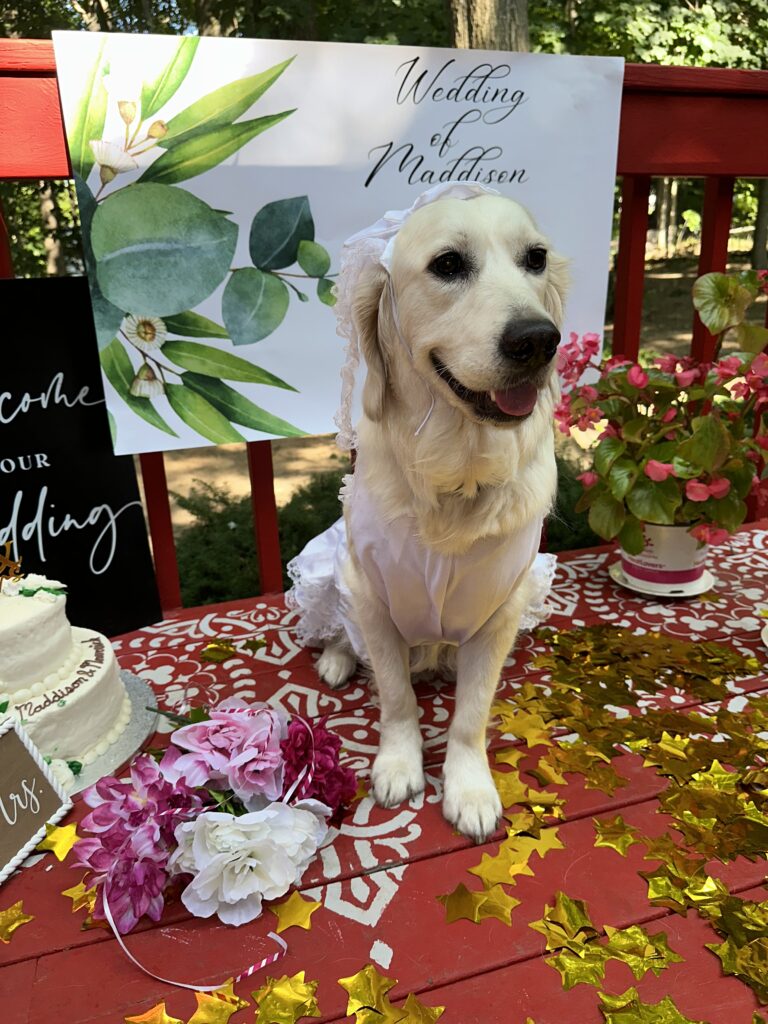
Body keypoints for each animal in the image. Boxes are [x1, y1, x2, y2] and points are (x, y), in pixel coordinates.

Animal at [312, 192, 568, 842]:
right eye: (448, 264)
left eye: (535, 258)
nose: (539, 340)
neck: (457, 476)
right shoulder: (370, 594)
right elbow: (397, 697)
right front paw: (399, 766)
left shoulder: (499, 611)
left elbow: (470, 715)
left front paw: (469, 788)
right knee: (341, 632)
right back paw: (335, 659)